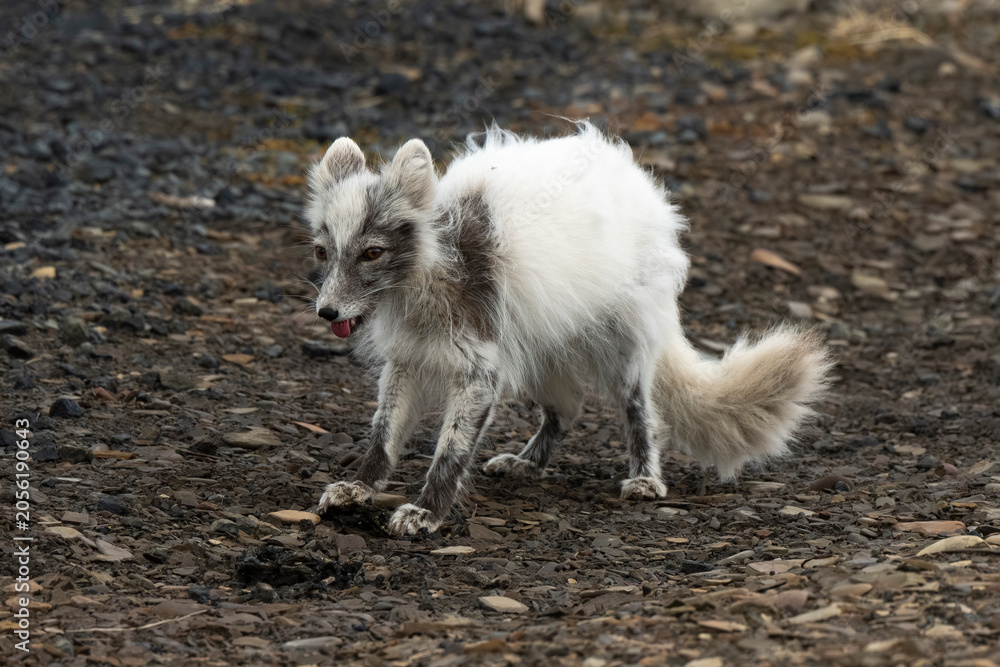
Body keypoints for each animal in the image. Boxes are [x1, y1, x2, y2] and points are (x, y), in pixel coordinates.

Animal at [304, 122, 832, 536]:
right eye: (321, 252)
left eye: (372, 252)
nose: (326, 312)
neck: (431, 276)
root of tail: (638, 181)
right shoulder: (407, 361)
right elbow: (383, 434)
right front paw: (360, 487)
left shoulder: (480, 372)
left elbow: (450, 450)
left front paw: (426, 512)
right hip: (541, 351)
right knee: (567, 410)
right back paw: (527, 463)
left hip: (622, 349)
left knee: (641, 411)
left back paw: (646, 478)